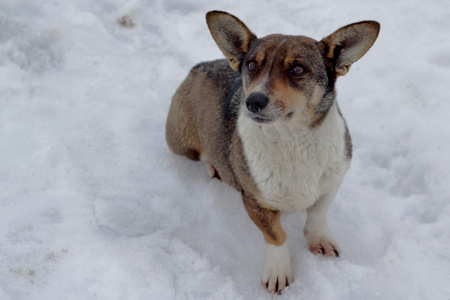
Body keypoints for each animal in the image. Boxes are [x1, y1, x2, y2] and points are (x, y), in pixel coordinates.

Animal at [165, 11, 380, 292]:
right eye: (251, 65)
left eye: (297, 69)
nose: (253, 101)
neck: (294, 140)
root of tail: (199, 65)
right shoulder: (256, 202)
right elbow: (276, 236)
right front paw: (279, 272)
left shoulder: (332, 181)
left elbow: (318, 213)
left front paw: (319, 239)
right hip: (181, 141)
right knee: (200, 154)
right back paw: (213, 165)